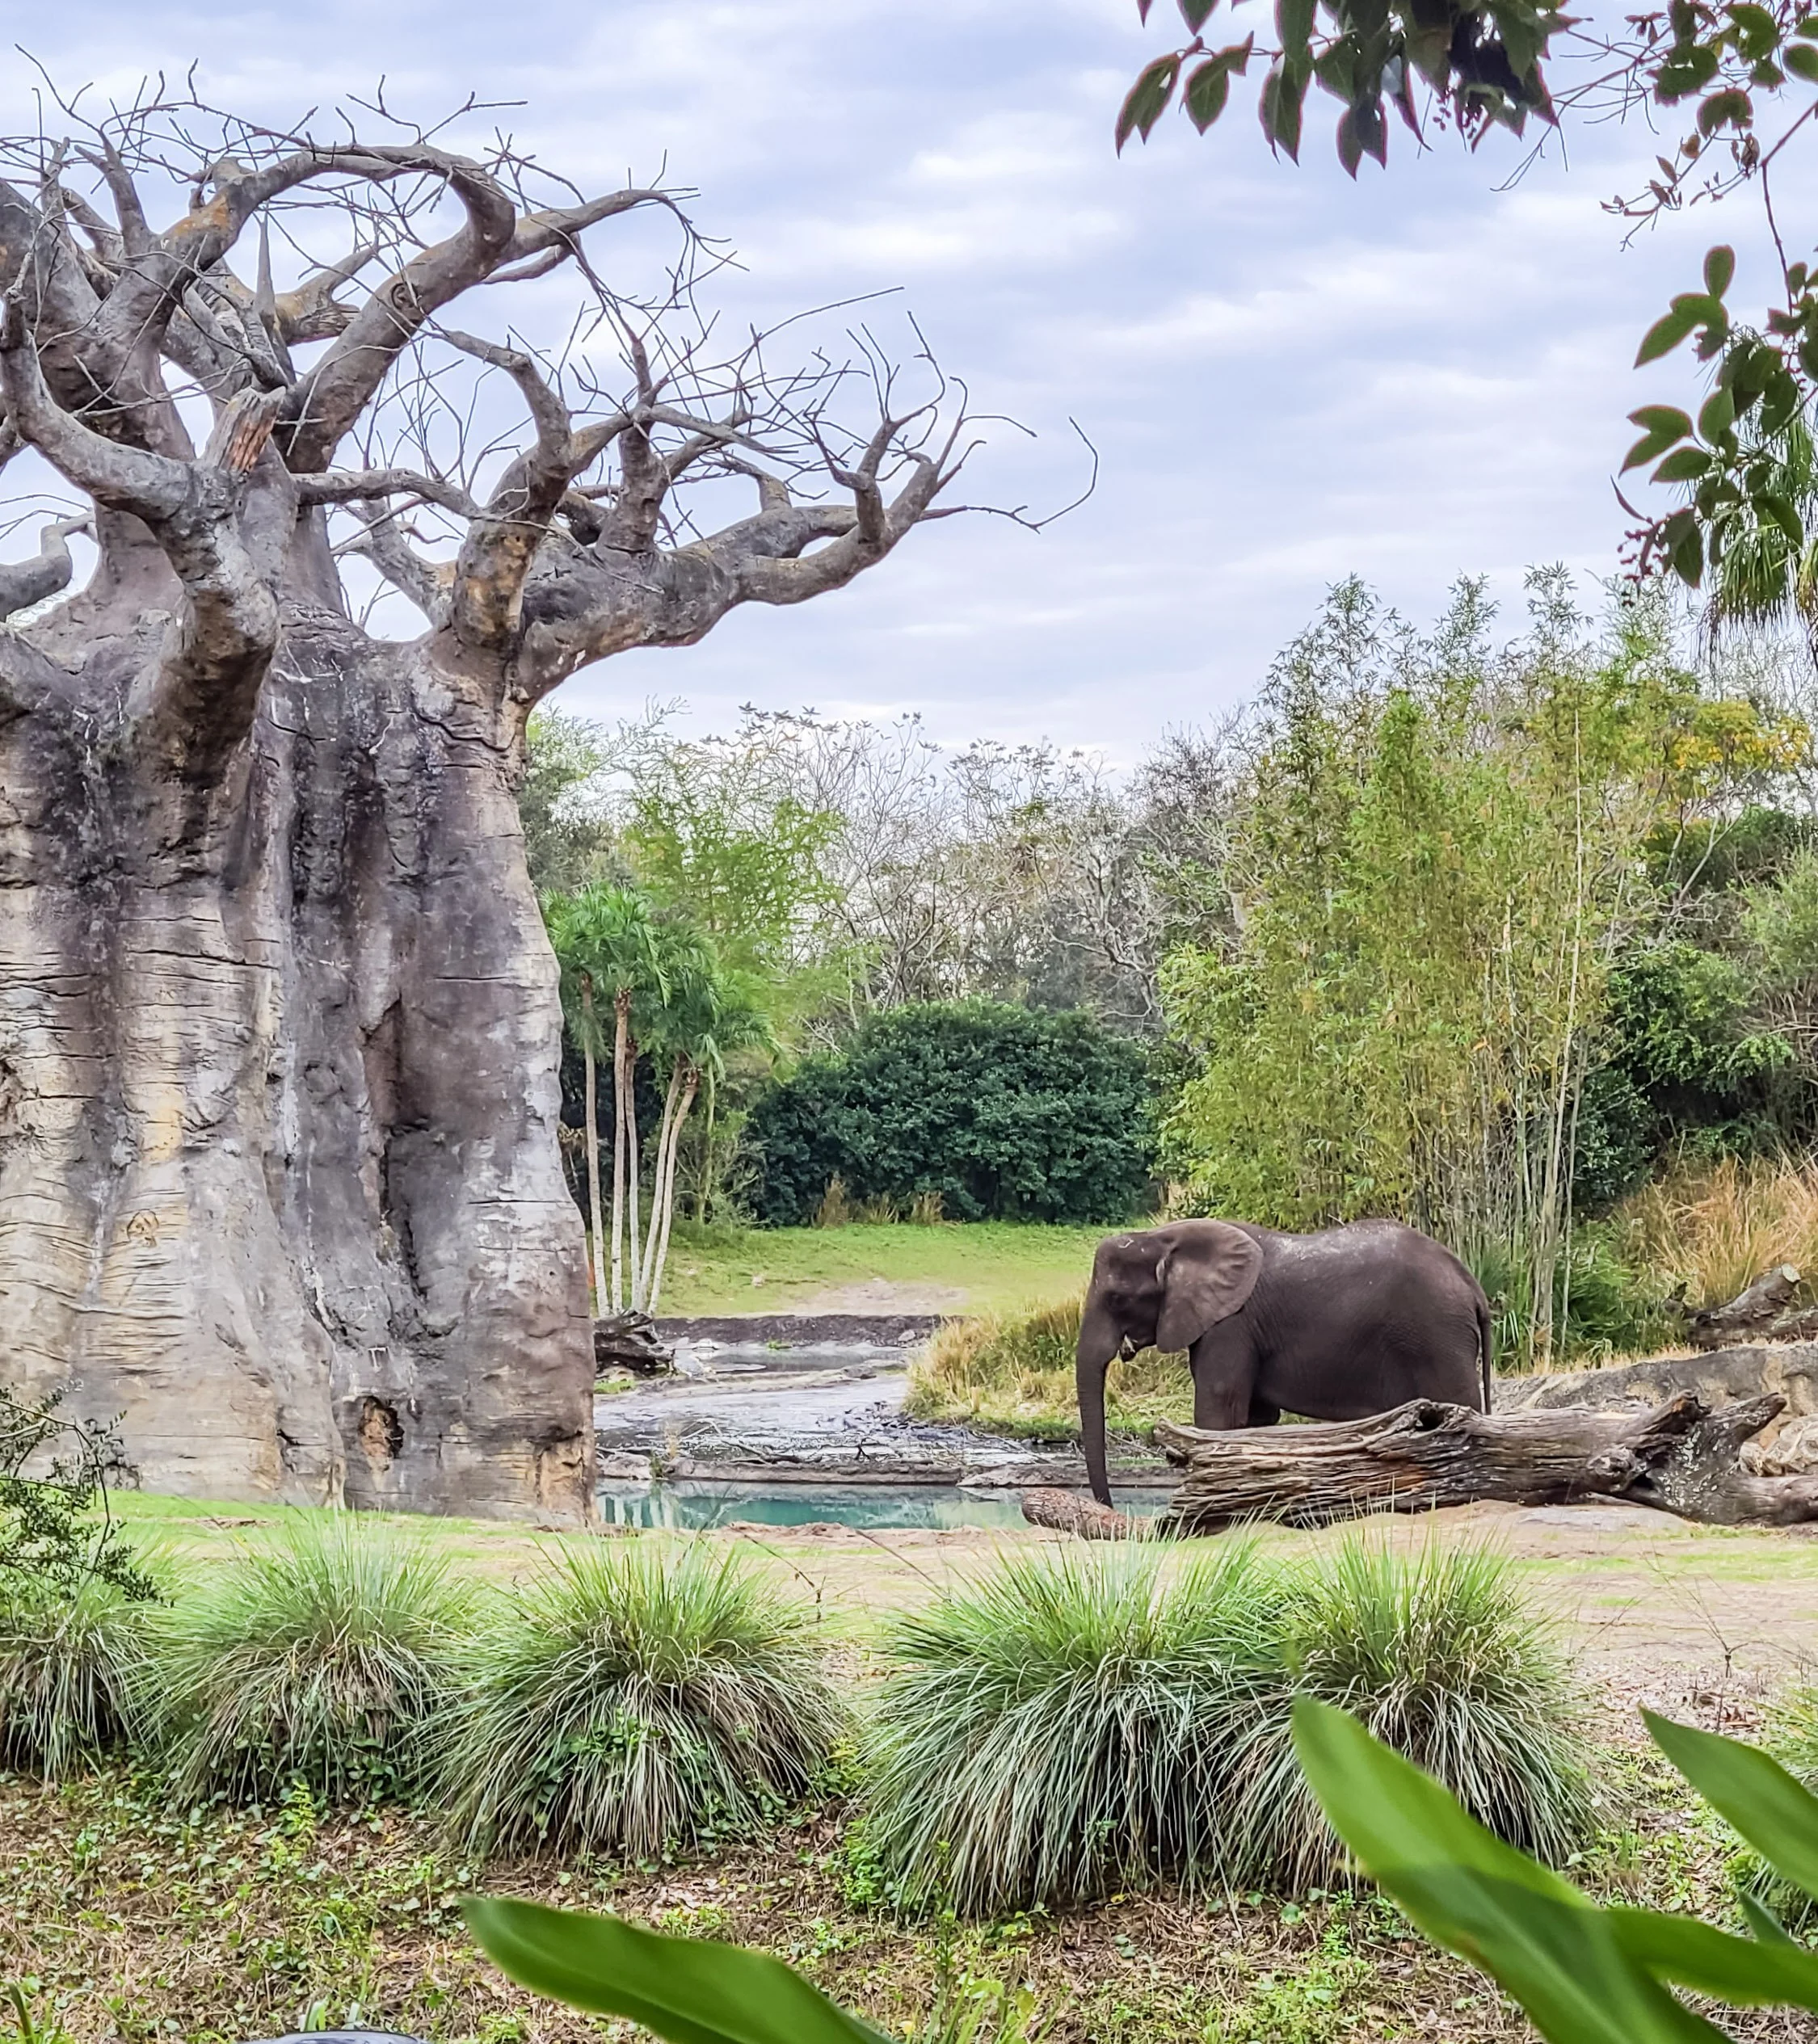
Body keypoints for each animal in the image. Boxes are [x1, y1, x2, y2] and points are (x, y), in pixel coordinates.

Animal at [1075, 1217, 1492, 1506]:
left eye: (1117, 1299)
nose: (1110, 1507)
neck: (1162, 1236)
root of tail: (1472, 1285)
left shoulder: (1232, 1325)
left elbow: (1218, 1413)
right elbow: (1256, 1419)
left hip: (1437, 1336)